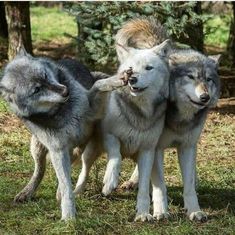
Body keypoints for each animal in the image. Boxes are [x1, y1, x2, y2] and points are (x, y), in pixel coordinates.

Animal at [0, 49, 129, 220]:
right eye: (36, 90)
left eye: (45, 75)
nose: (65, 90)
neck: (61, 111)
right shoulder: (58, 150)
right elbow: (65, 183)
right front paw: (68, 216)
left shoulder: (93, 112)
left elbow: (98, 84)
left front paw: (117, 80)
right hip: (37, 146)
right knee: (40, 169)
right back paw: (27, 192)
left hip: (79, 147)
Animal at [72, 35, 172, 221]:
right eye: (130, 69)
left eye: (148, 68)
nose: (132, 79)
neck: (138, 114)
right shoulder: (110, 136)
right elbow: (116, 156)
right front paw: (109, 183)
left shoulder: (148, 150)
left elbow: (144, 183)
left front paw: (143, 213)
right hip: (92, 151)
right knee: (85, 169)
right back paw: (76, 192)